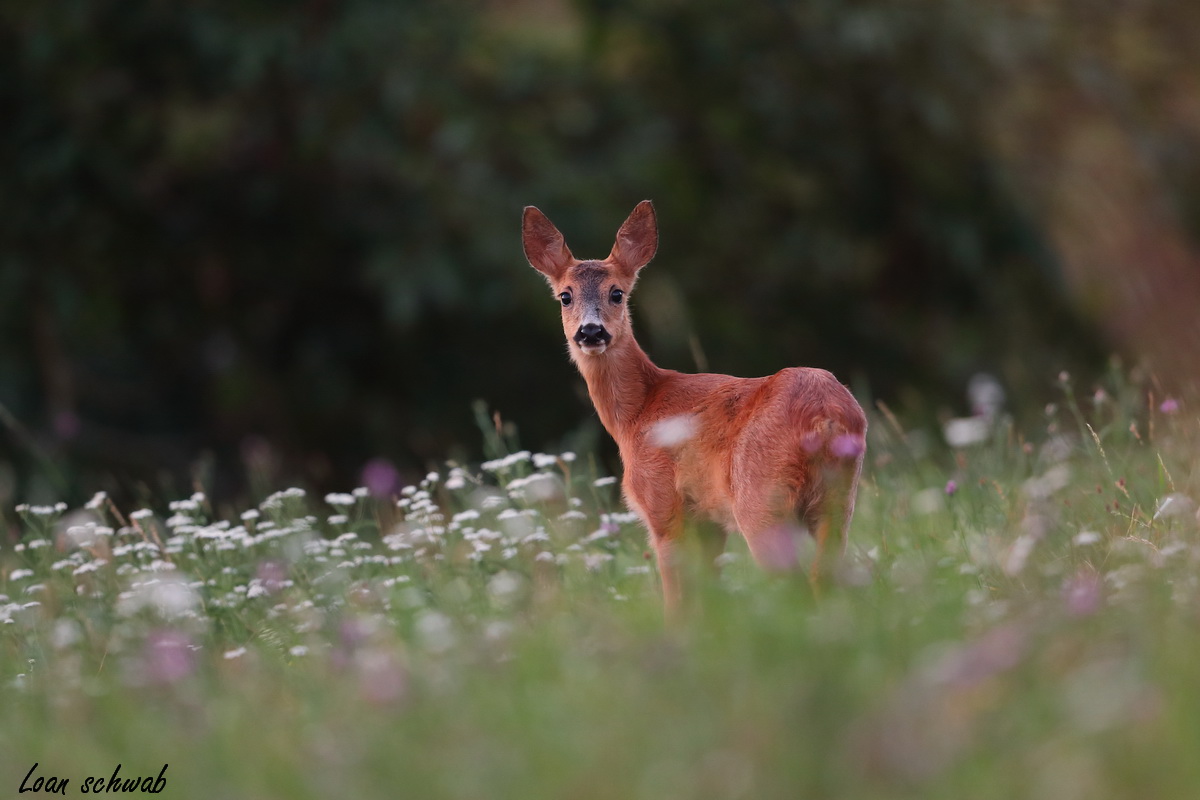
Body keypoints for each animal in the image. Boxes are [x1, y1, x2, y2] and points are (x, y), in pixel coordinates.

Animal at [520, 201, 868, 618]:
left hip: (760, 496)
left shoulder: (662, 502)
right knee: (827, 578)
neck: (637, 412)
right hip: (839, 499)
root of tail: (825, 417)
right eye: (565, 296)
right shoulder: (709, 521)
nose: (591, 332)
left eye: (617, 293)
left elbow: (676, 597)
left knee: (795, 583)